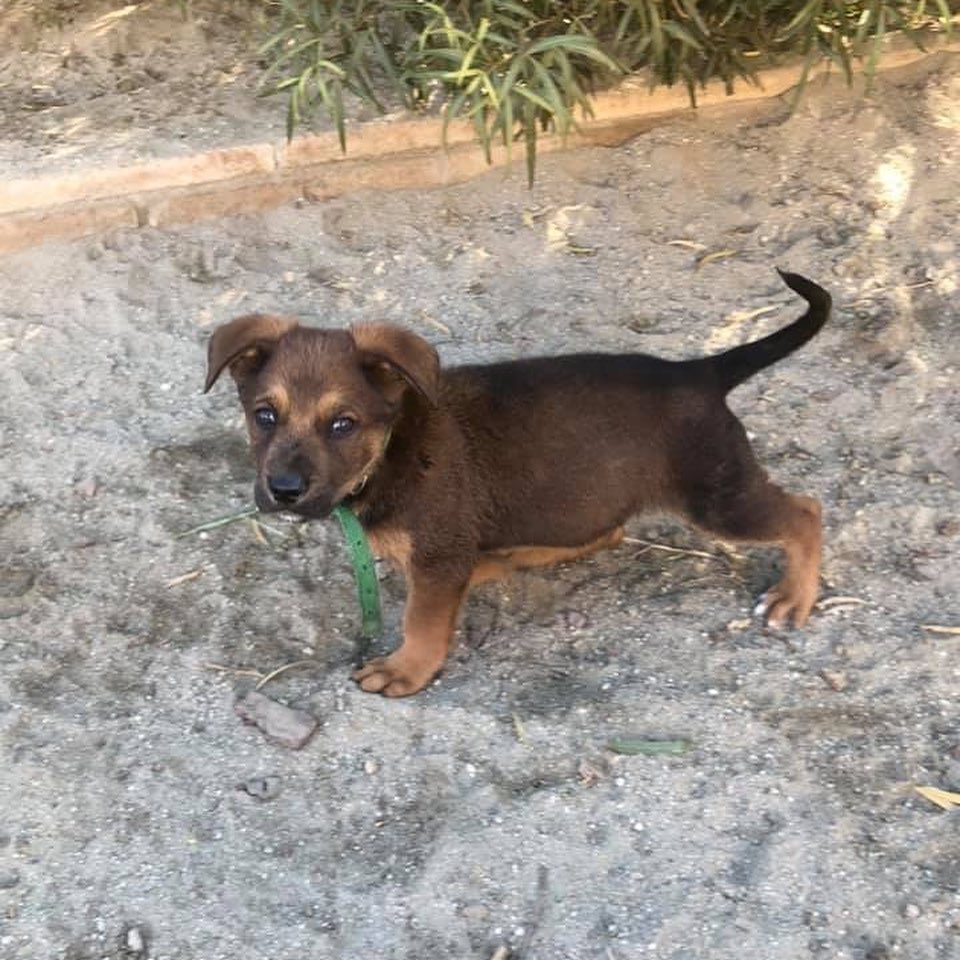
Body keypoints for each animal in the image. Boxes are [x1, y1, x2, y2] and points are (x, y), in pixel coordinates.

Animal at [206, 270, 828, 696]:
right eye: (264, 415)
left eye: (343, 424)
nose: (283, 489)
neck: (389, 451)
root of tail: (700, 372)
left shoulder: (438, 553)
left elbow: (421, 622)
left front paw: (406, 670)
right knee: (602, 533)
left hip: (716, 495)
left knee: (806, 511)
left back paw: (794, 596)